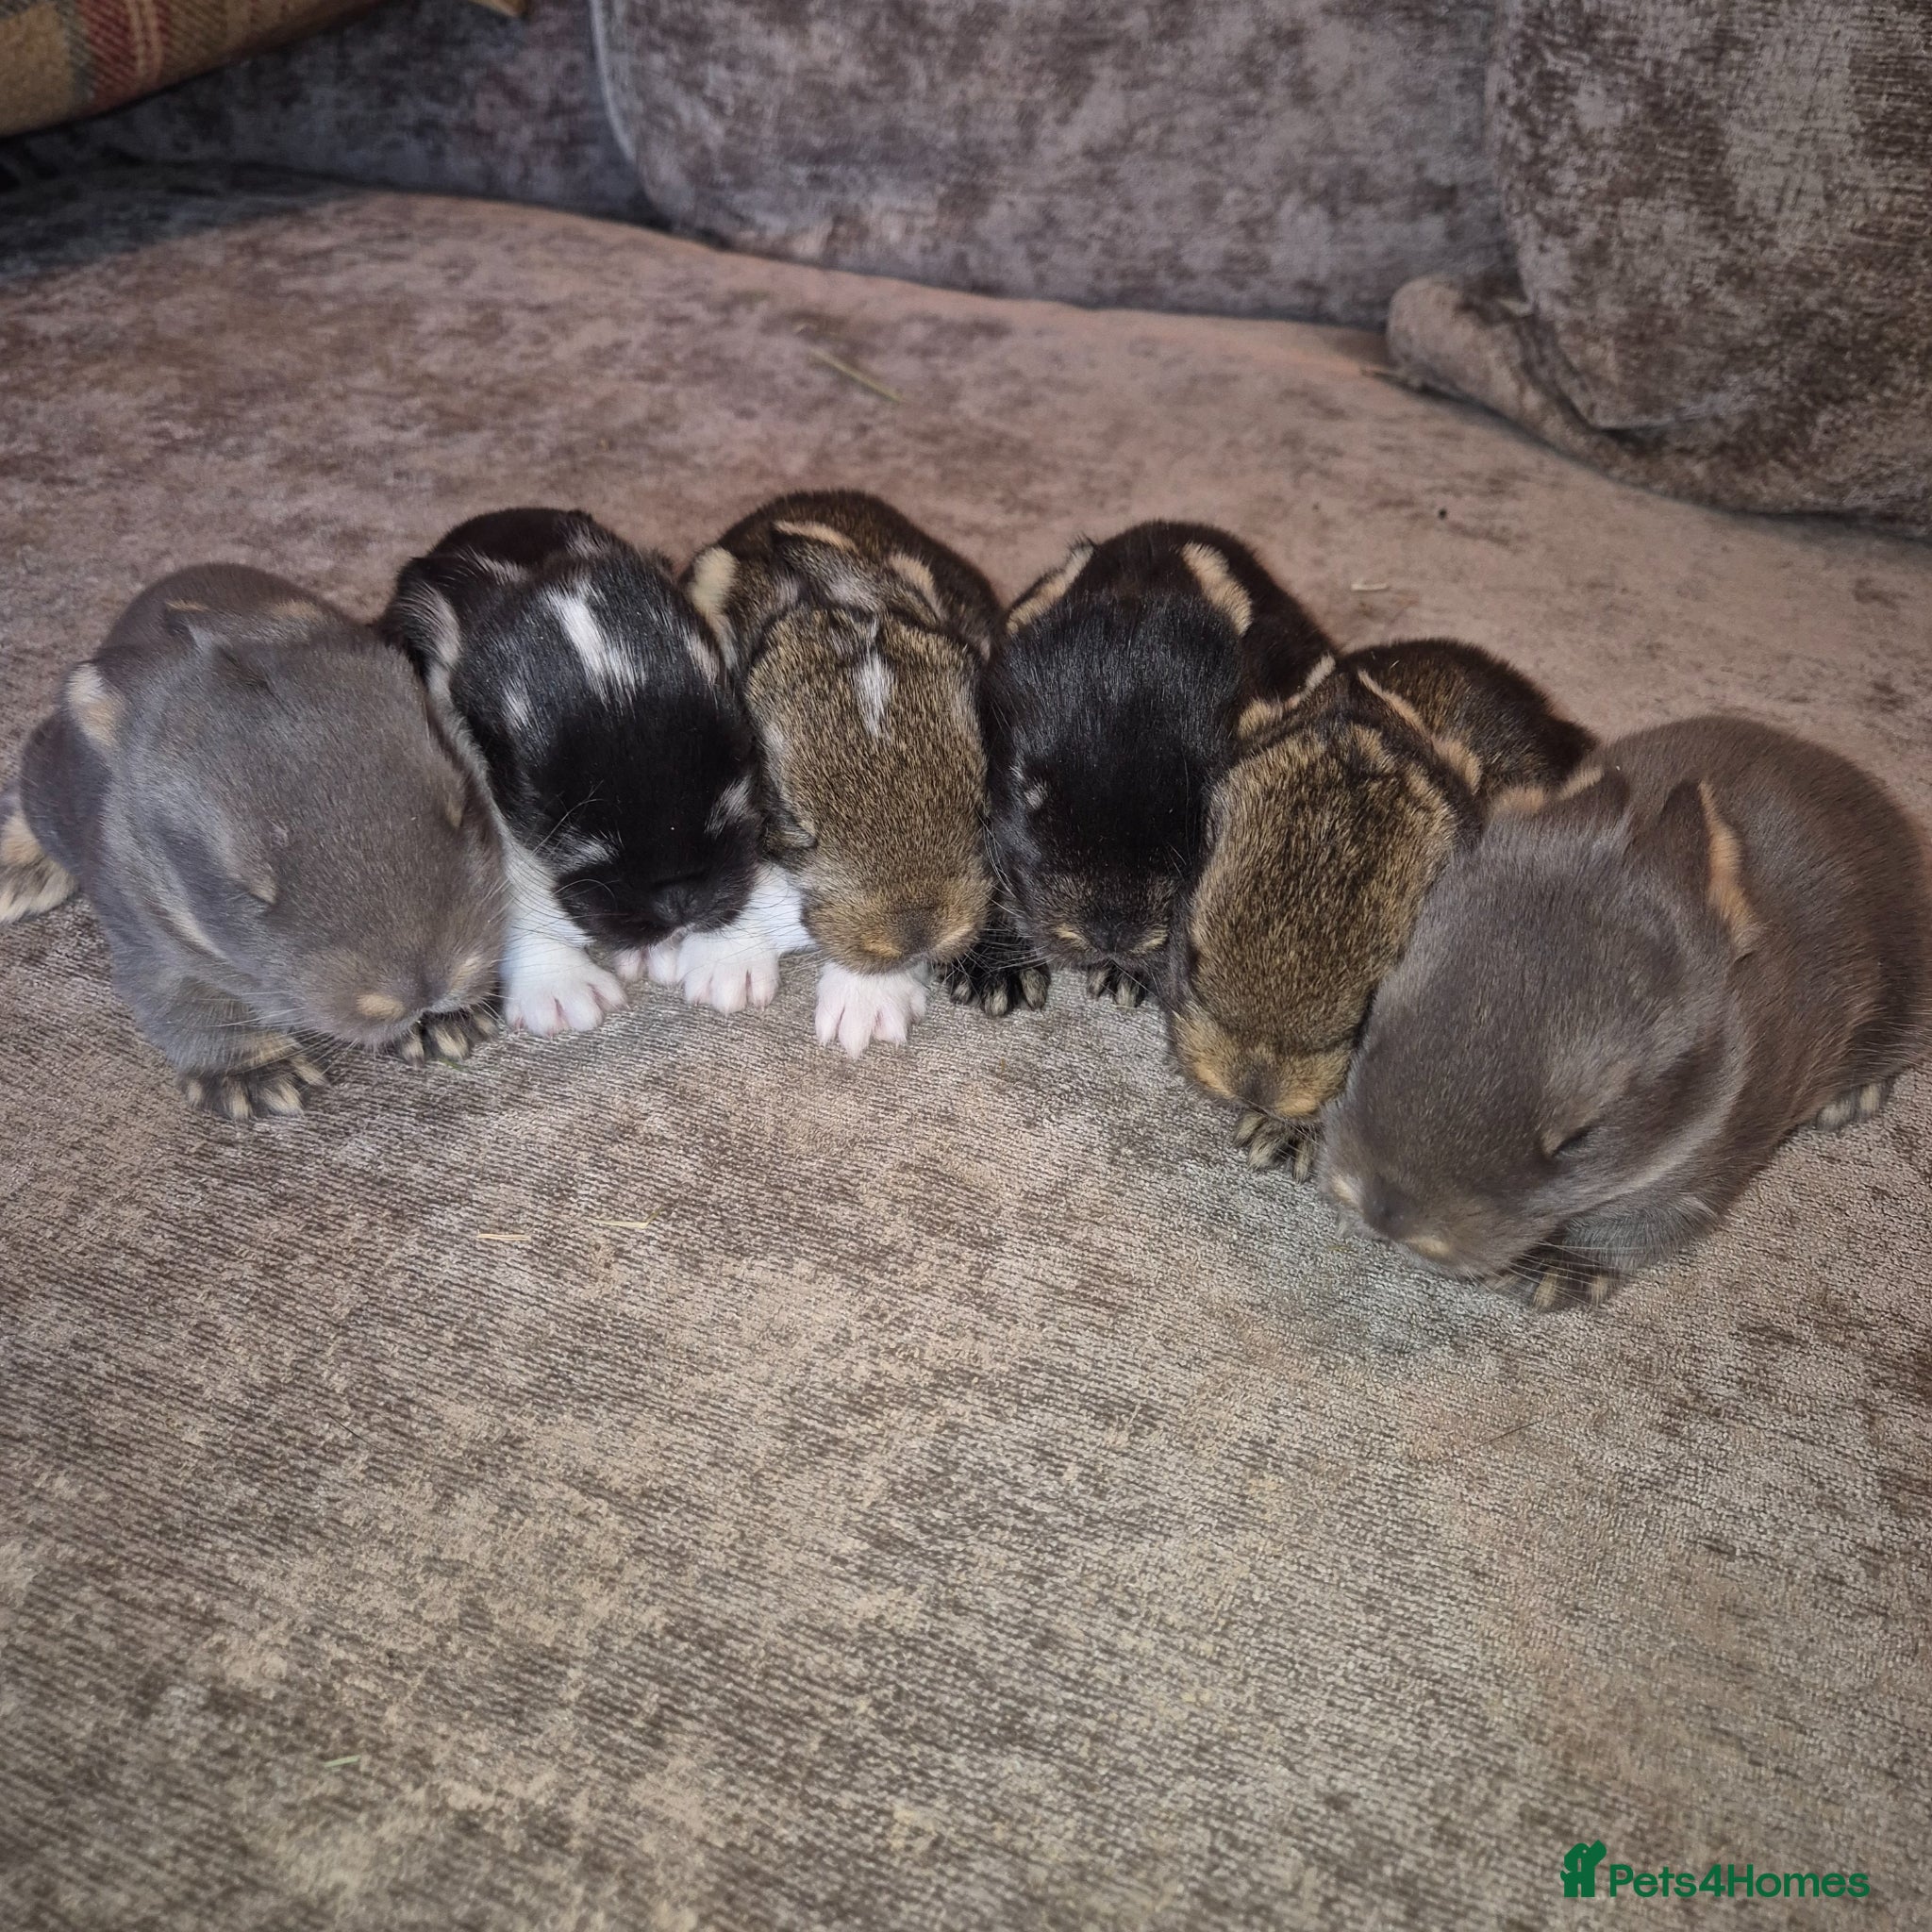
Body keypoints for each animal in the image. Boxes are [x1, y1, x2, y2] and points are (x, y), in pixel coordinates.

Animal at [0, 565, 506, 1118]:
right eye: (248, 891)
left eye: (463, 809)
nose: (425, 990)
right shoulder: (143, 933)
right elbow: (187, 1001)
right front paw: (259, 1080)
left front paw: (447, 1026)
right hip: (51, 786)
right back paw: (16, 878)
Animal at [1319, 716, 1932, 1308]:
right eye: (1371, 1030)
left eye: (1579, 1138)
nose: (1387, 1211)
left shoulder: (1706, 1170)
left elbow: (1635, 1231)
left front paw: (1555, 1276)